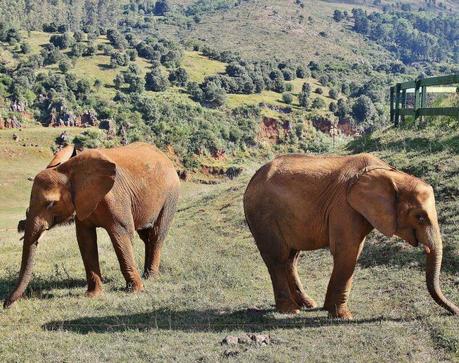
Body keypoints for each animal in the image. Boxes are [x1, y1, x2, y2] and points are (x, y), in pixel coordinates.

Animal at [4, 142, 180, 308]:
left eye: (51, 204)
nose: (6, 304)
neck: (67, 170)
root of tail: (165, 157)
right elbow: (85, 239)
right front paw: (93, 295)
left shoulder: (116, 198)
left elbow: (122, 235)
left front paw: (135, 291)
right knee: (146, 235)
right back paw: (146, 274)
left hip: (170, 195)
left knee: (157, 234)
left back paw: (151, 277)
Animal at [243, 152, 458, 320]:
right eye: (420, 217)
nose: (455, 312)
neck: (391, 174)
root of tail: (253, 178)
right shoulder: (344, 207)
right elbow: (348, 251)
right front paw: (343, 316)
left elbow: (353, 251)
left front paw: (328, 310)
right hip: (263, 215)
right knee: (277, 258)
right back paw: (290, 310)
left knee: (291, 258)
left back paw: (308, 304)